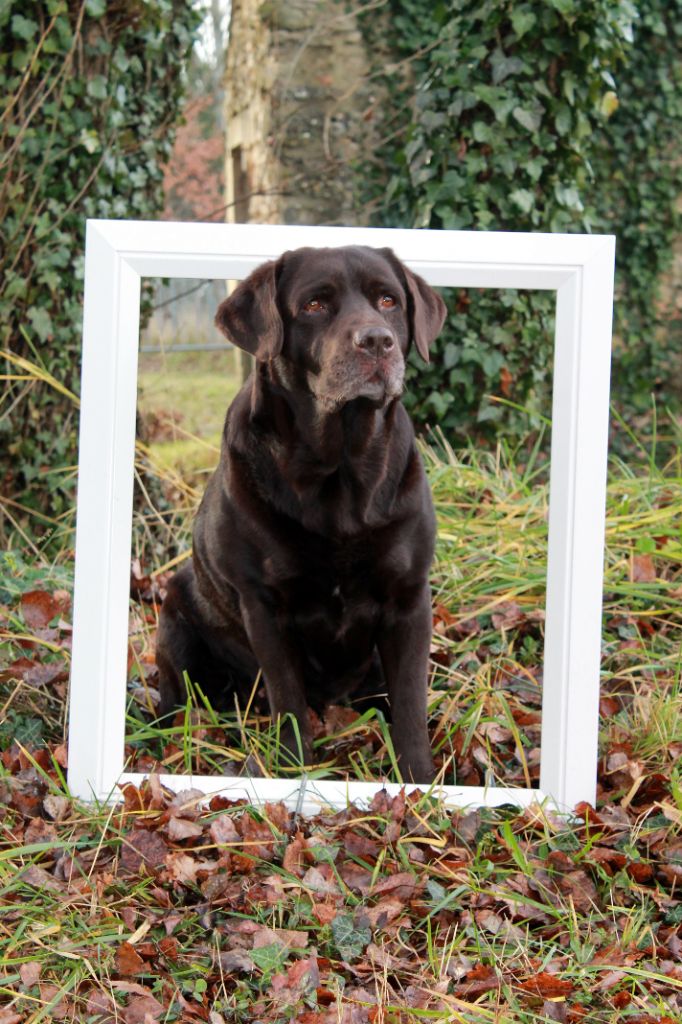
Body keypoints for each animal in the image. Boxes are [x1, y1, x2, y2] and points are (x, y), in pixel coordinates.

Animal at [155, 244, 446, 782]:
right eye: (314, 305)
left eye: (388, 300)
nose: (377, 340)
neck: (342, 474)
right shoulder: (264, 605)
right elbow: (288, 700)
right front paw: (294, 775)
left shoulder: (409, 598)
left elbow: (412, 703)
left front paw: (419, 780)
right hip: (175, 619)